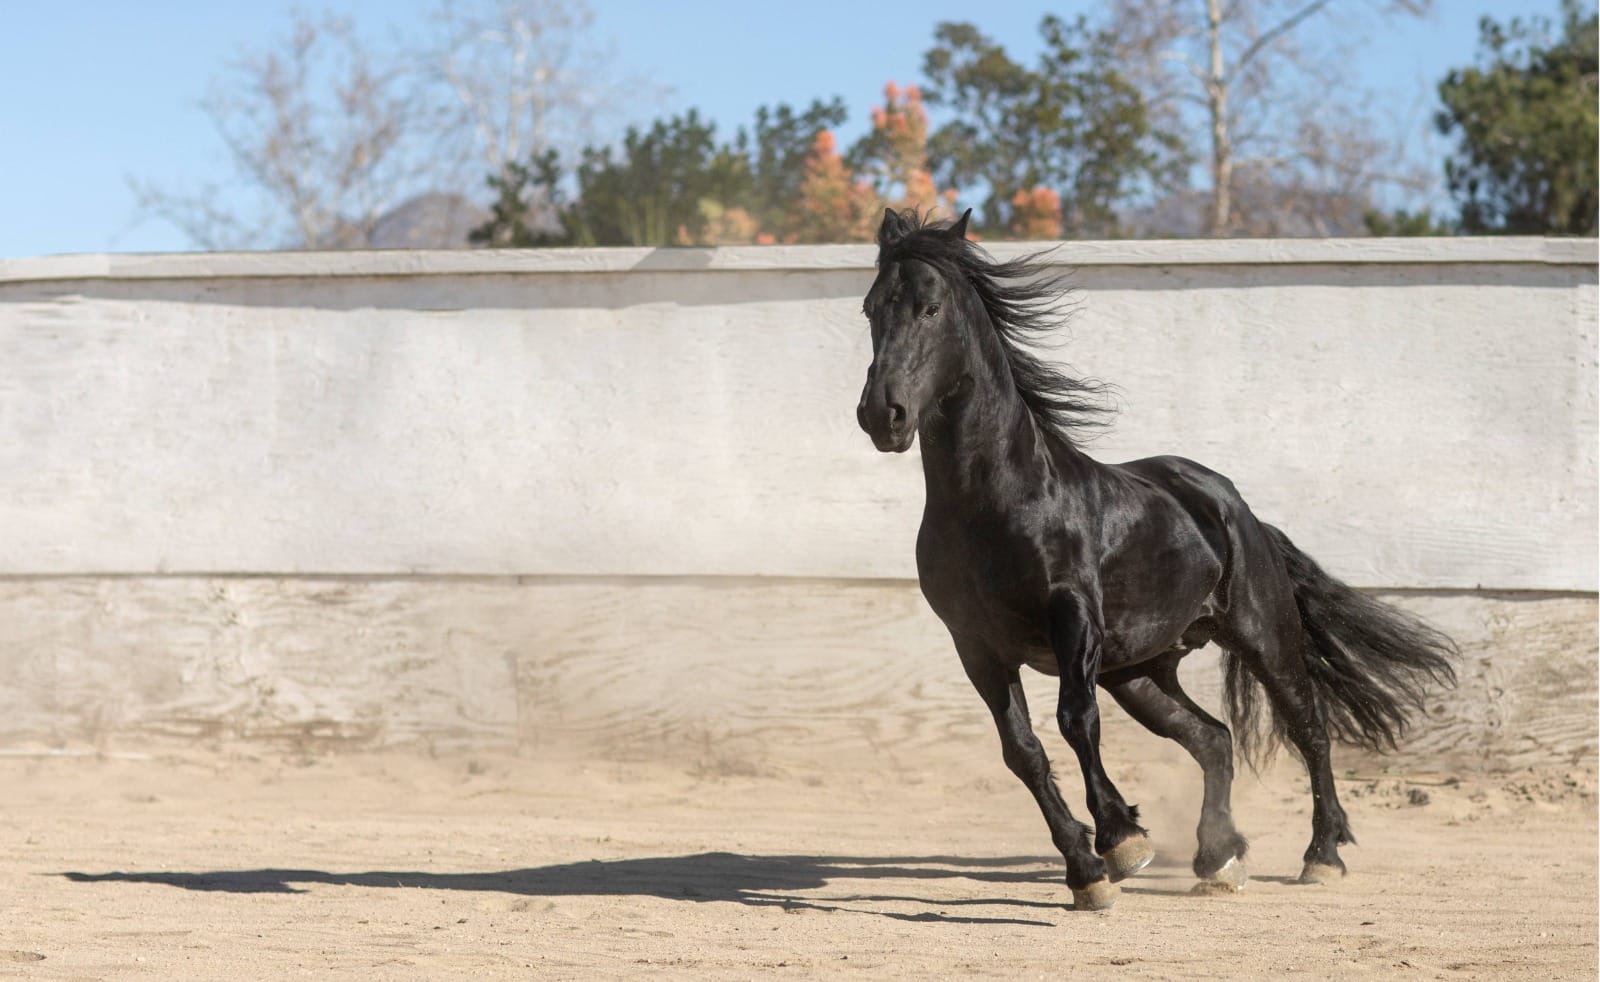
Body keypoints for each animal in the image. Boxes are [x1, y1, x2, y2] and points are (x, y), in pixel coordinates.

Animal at [854, 208, 1456, 911]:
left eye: (930, 307)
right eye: (871, 308)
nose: (882, 415)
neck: (996, 501)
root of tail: (1235, 507)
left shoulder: (1073, 620)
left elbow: (1074, 721)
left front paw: (1120, 842)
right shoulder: (975, 645)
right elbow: (1023, 751)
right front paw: (1089, 872)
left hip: (1262, 636)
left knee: (1309, 726)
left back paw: (1322, 856)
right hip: (1139, 672)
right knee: (1214, 738)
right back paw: (1219, 857)